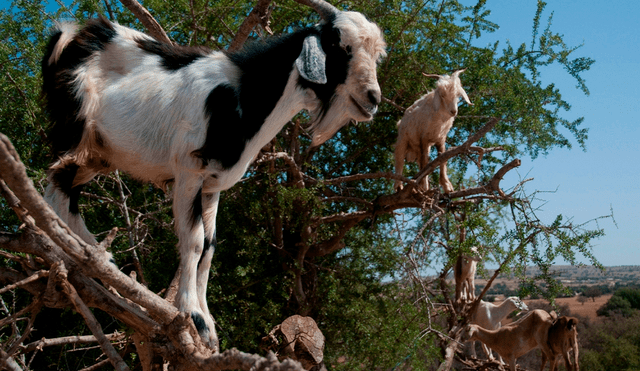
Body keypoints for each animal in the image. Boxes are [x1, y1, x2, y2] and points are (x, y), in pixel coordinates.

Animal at [42, 0, 388, 352]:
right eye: (339, 45)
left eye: (376, 55)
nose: (372, 99)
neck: (243, 96)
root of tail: (72, 36)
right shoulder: (188, 173)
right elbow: (193, 242)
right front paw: (193, 316)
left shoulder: (212, 185)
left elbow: (209, 247)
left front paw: (209, 323)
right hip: (76, 133)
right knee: (55, 187)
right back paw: (76, 254)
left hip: (99, 154)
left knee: (63, 189)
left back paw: (97, 260)